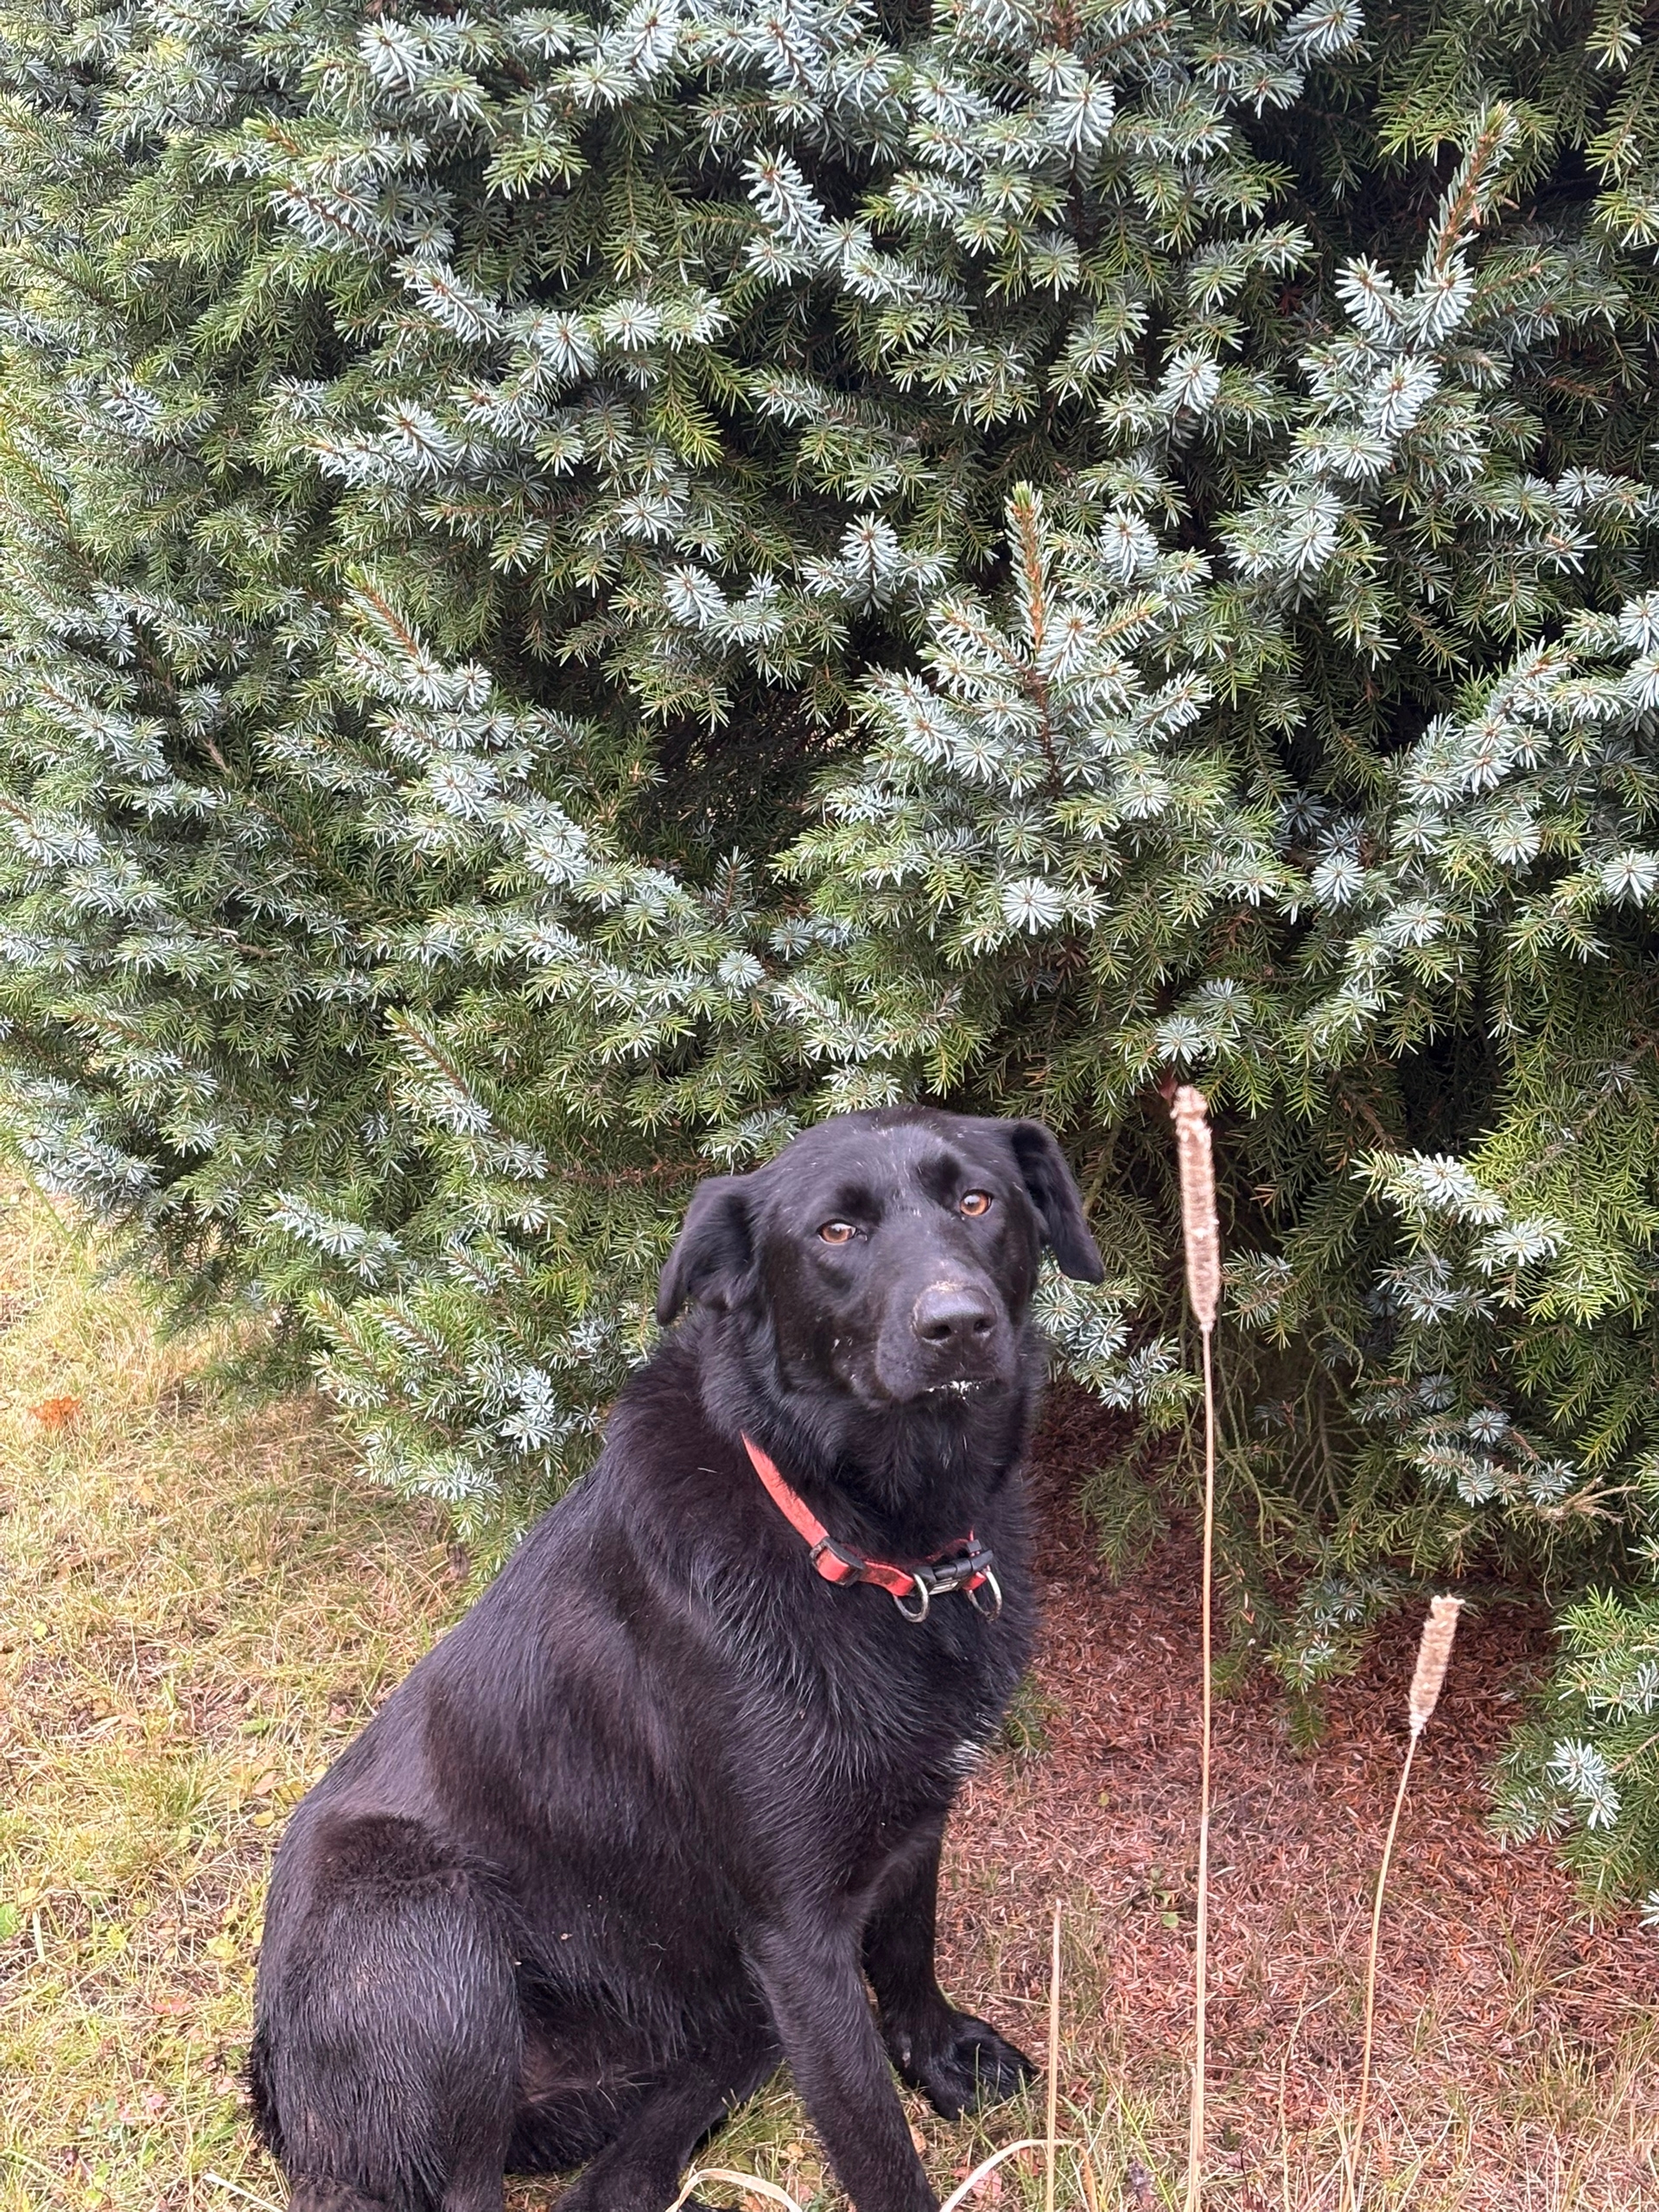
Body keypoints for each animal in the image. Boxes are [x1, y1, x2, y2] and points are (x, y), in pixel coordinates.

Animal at [249, 1105, 1104, 2212]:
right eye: (835, 1232)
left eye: (976, 1200)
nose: (956, 1323)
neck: (860, 1535)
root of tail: (275, 2085)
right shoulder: (796, 1934)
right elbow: (873, 2141)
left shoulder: (911, 1820)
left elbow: (910, 1944)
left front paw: (939, 2050)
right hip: (426, 1926)